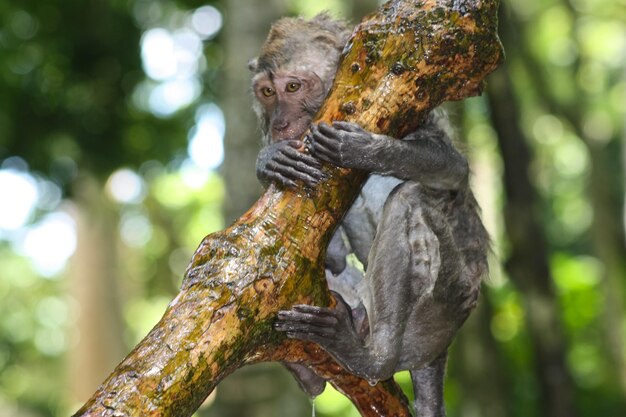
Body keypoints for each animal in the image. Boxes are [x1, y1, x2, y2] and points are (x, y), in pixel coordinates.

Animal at [247, 13, 488, 416]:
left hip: (441, 310)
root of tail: (437, 353)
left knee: (409, 199)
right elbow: (331, 258)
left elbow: (454, 170)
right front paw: (269, 160)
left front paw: (361, 150)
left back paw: (371, 358)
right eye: (267, 93)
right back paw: (313, 369)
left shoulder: (415, 118)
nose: (279, 124)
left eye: (292, 87)